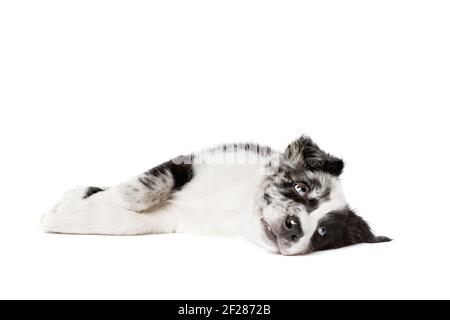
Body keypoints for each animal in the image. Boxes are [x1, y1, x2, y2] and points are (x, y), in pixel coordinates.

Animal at [43, 135, 394, 255]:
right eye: (301, 188)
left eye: (322, 233)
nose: (294, 228)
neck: (235, 206)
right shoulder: (192, 163)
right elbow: (143, 188)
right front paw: (79, 201)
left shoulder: (172, 217)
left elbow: (123, 221)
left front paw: (64, 215)